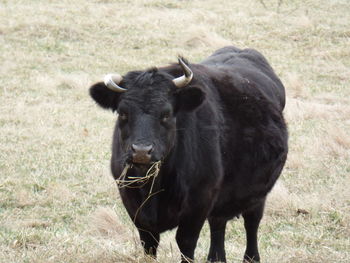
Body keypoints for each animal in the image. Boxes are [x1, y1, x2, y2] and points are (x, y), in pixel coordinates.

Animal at [89, 47, 288, 263]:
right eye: (123, 113)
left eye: (166, 114)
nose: (141, 151)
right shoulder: (132, 201)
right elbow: (149, 243)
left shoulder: (199, 202)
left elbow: (186, 243)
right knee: (218, 226)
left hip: (258, 193)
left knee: (251, 223)